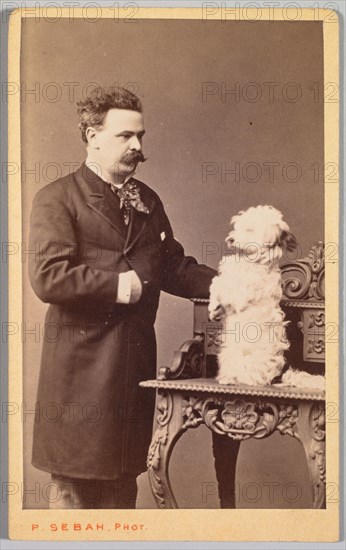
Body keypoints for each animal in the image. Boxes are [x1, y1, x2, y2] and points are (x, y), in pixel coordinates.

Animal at [208, 206, 328, 392]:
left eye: (250, 229)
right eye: (238, 226)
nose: (230, 239)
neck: (251, 261)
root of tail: (278, 376)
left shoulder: (240, 294)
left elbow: (219, 283)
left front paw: (215, 304)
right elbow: (216, 285)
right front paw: (213, 307)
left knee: (252, 379)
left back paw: (230, 379)